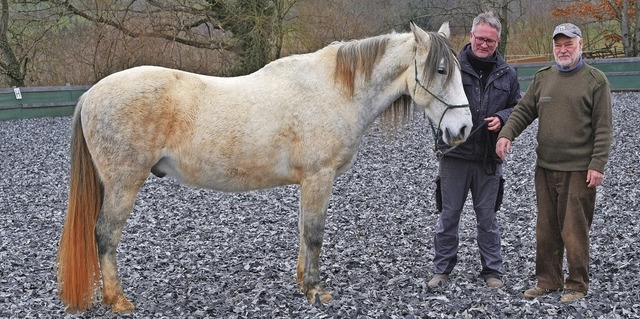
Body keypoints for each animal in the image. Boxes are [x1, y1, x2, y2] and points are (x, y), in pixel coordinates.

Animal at [58, 22, 470, 316]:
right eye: (440, 69)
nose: (463, 129)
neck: (334, 91)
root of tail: (91, 94)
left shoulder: (308, 181)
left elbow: (304, 232)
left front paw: (303, 283)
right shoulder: (319, 177)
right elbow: (314, 234)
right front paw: (317, 292)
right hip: (124, 184)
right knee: (105, 236)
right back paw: (118, 300)